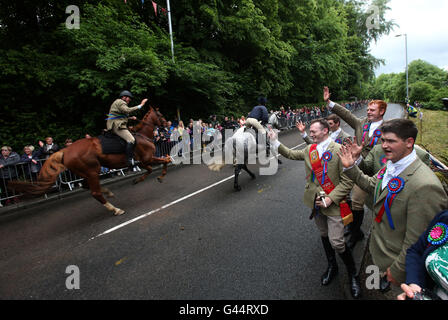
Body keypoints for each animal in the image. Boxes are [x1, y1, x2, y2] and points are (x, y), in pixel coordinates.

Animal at [9, 107, 173, 215]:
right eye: (160, 114)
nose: (166, 124)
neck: (142, 135)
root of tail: (65, 151)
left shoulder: (145, 160)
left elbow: (163, 161)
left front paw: (154, 177)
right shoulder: (146, 159)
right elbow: (163, 161)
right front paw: (156, 177)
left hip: (86, 172)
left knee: (87, 186)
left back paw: (107, 192)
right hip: (92, 171)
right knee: (94, 192)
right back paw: (115, 209)